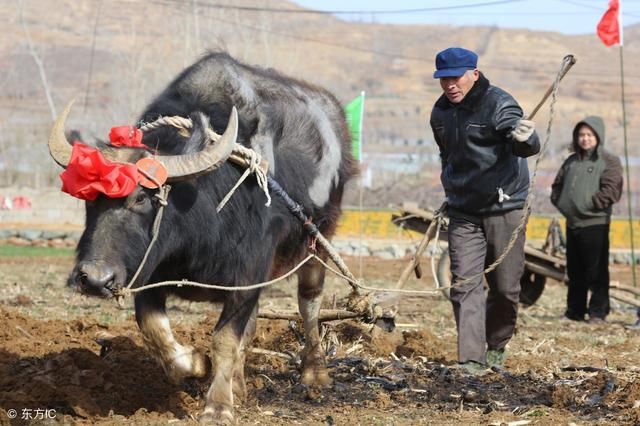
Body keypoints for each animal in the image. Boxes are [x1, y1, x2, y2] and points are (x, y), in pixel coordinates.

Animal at [48, 52, 360, 422]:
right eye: (89, 198)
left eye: (142, 198)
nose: (94, 279)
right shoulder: (151, 273)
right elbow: (155, 329)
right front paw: (199, 365)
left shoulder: (246, 275)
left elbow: (225, 338)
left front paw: (218, 406)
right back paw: (239, 383)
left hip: (319, 238)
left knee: (309, 303)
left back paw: (315, 374)